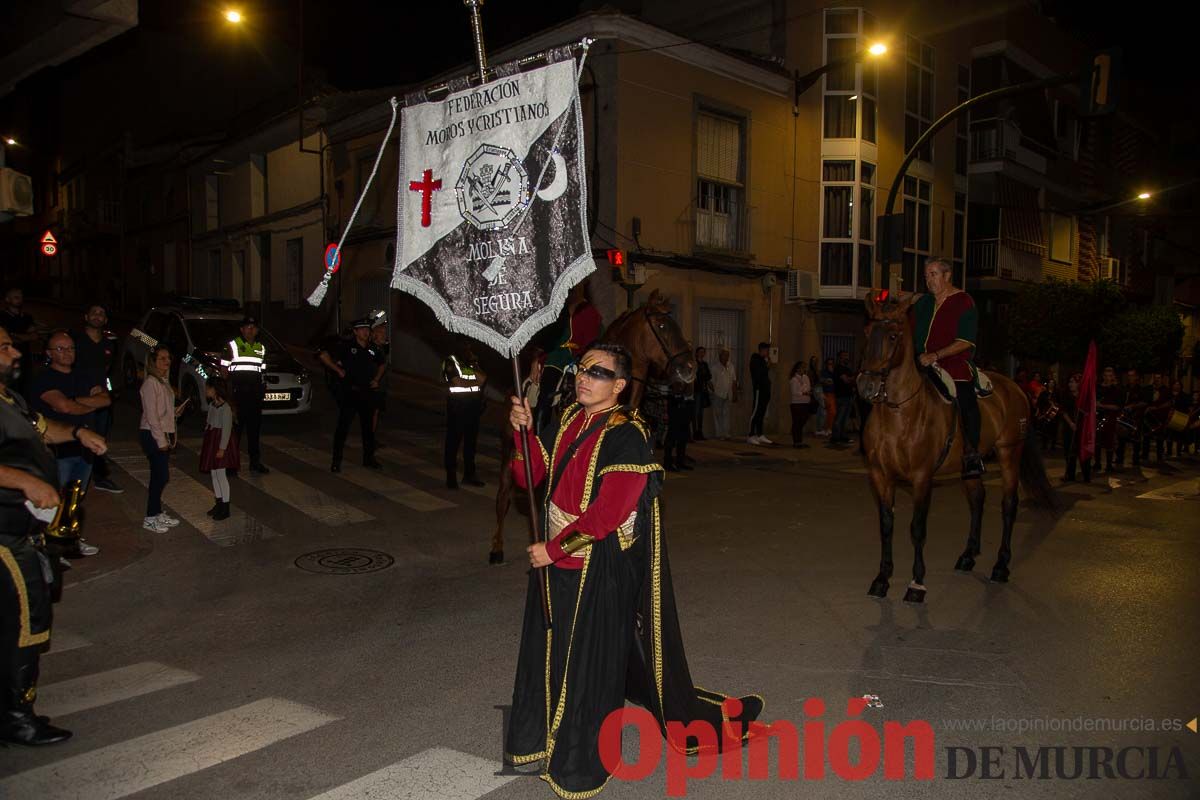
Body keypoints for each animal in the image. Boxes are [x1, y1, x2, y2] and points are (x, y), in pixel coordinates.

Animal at [859, 292, 1056, 599]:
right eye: (867, 332)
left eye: (892, 336)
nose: (865, 386)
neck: (899, 412)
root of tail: (1014, 387)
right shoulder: (881, 475)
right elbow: (886, 524)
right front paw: (882, 578)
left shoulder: (921, 478)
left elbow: (917, 528)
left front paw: (917, 583)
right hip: (971, 465)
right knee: (977, 499)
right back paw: (968, 555)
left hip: (1009, 452)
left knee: (1008, 505)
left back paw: (1001, 565)